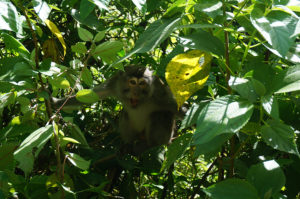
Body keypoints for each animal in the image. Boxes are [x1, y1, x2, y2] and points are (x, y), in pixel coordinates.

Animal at [52, 64, 182, 155]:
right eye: (132, 82)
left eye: (142, 84)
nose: (136, 92)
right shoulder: (115, 83)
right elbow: (93, 95)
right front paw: (54, 102)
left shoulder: (159, 92)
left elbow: (177, 108)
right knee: (125, 114)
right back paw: (128, 144)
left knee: (159, 114)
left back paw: (151, 145)